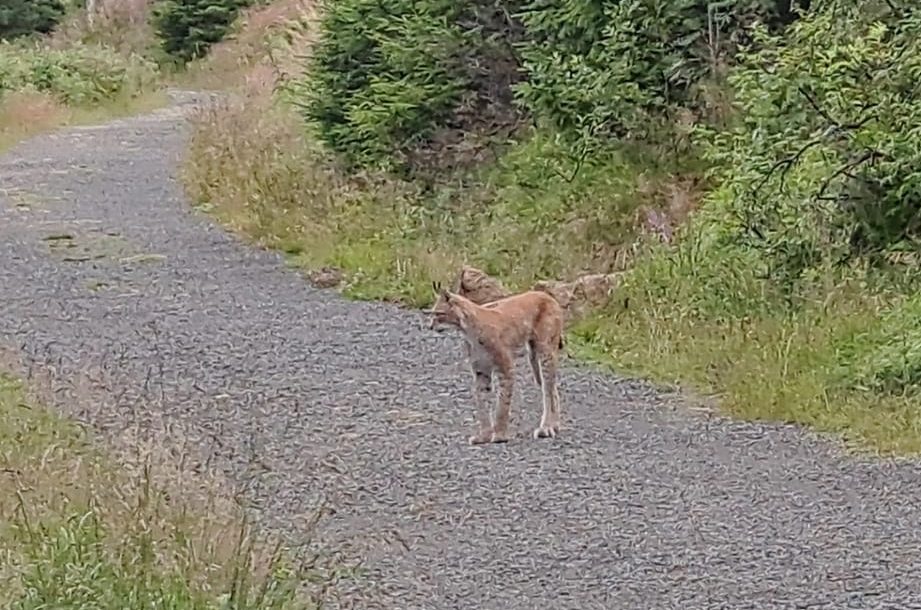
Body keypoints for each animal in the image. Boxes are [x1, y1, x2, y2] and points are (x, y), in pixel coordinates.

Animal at [430, 280, 564, 442]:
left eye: (438, 314)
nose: (430, 326)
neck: (467, 330)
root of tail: (546, 295)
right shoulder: (481, 370)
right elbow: (481, 402)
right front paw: (484, 435)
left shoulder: (505, 366)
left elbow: (502, 402)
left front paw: (500, 434)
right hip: (534, 358)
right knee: (552, 389)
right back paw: (554, 426)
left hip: (545, 351)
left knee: (547, 390)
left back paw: (545, 428)